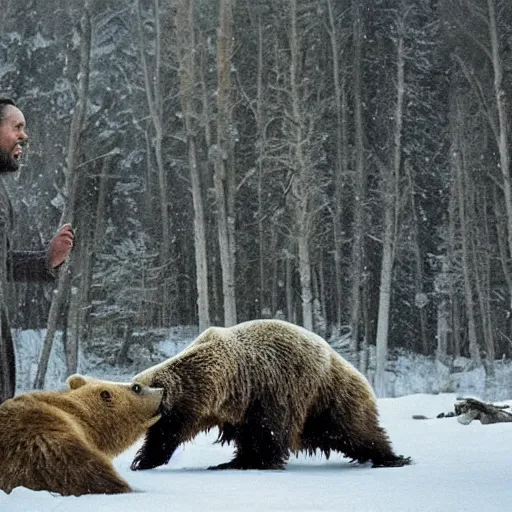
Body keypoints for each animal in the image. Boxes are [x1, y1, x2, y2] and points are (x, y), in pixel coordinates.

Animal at [132, 320, 412, 472]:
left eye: (135, 389)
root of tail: (358, 372)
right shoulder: (220, 407)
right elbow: (167, 433)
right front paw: (143, 460)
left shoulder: (268, 391)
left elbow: (268, 433)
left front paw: (256, 462)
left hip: (329, 396)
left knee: (356, 430)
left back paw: (393, 458)